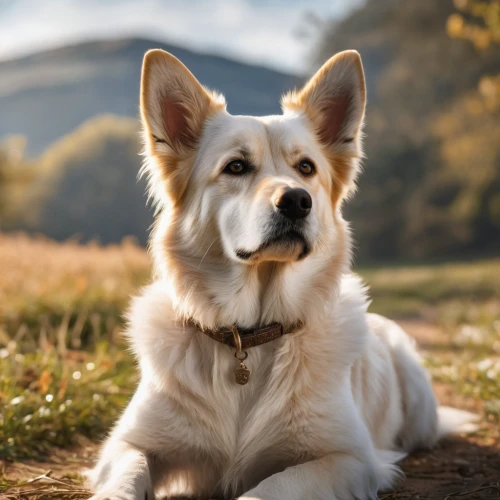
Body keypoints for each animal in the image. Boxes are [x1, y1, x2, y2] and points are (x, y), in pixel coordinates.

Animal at [88, 47, 474, 500]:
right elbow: (124, 478)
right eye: (236, 167)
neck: (249, 335)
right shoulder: (128, 443)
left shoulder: (348, 458)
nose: (296, 201)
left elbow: (269, 487)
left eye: (306, 167)